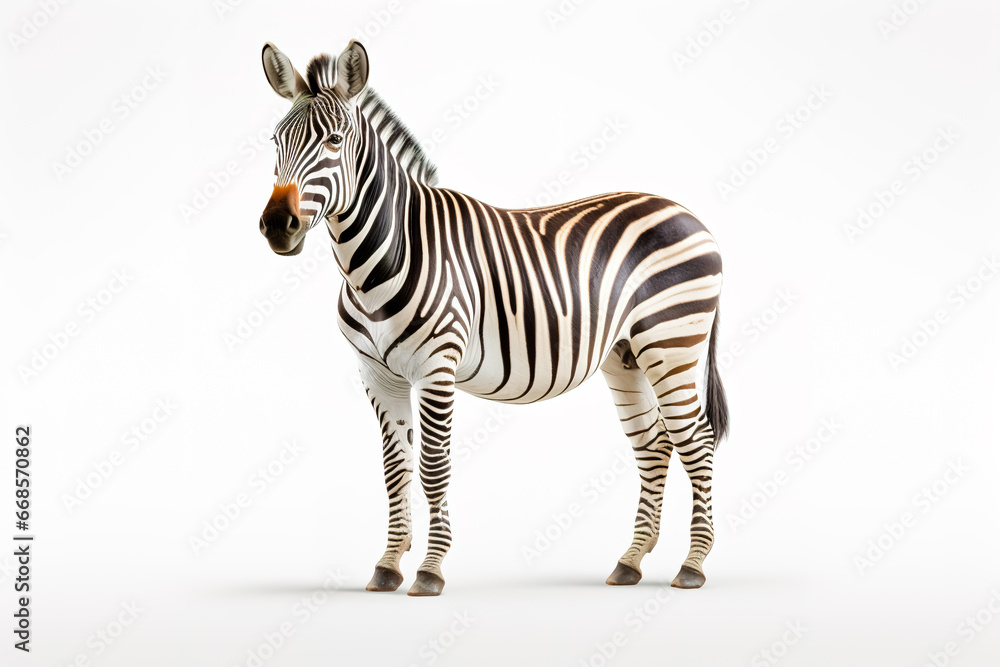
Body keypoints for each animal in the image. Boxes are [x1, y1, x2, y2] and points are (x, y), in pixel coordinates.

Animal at [258, 40, 729, 596]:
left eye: (333, 141)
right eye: (274, 141)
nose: (277, 226)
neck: (380, 258)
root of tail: (686, 211)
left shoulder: (437, 367)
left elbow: (433, 467)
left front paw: (430, 571)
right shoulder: (377, 374)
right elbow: (395, 470)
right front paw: (388, 566)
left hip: (672, 342)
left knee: (696, 441)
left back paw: (694, 565)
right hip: (626, 354)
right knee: (653, 445)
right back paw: (630, 562)